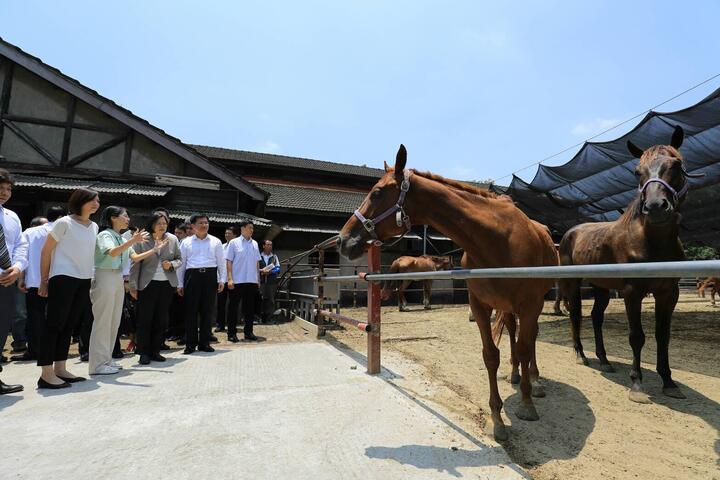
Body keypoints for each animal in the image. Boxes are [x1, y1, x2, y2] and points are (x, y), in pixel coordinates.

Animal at [338, 144, 556, 440]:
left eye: (377, 192)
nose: (343, 240)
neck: (498, 240)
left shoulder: (530, 304)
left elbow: (524, 348)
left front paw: (526, 403)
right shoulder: (480, 305)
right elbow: (491, 356)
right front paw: (497, 419)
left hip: (532, 304)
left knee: (530, 339)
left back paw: (533, 379)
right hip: (507, 307)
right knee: (513, 333)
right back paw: (514, 374)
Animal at [560, 125, 700, 404]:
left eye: (676, 165)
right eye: (637, 171)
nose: (656, 207)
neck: (651, 242)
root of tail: (571, 232)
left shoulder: (669, 293)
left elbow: (663, 336)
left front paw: (669, 382)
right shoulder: (632, 292)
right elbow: (637, 337)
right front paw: (636, 385)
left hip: (602, 288)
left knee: (596, 318)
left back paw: (604, 360)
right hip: (573, 283)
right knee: (576, 315)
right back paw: (581, 355)